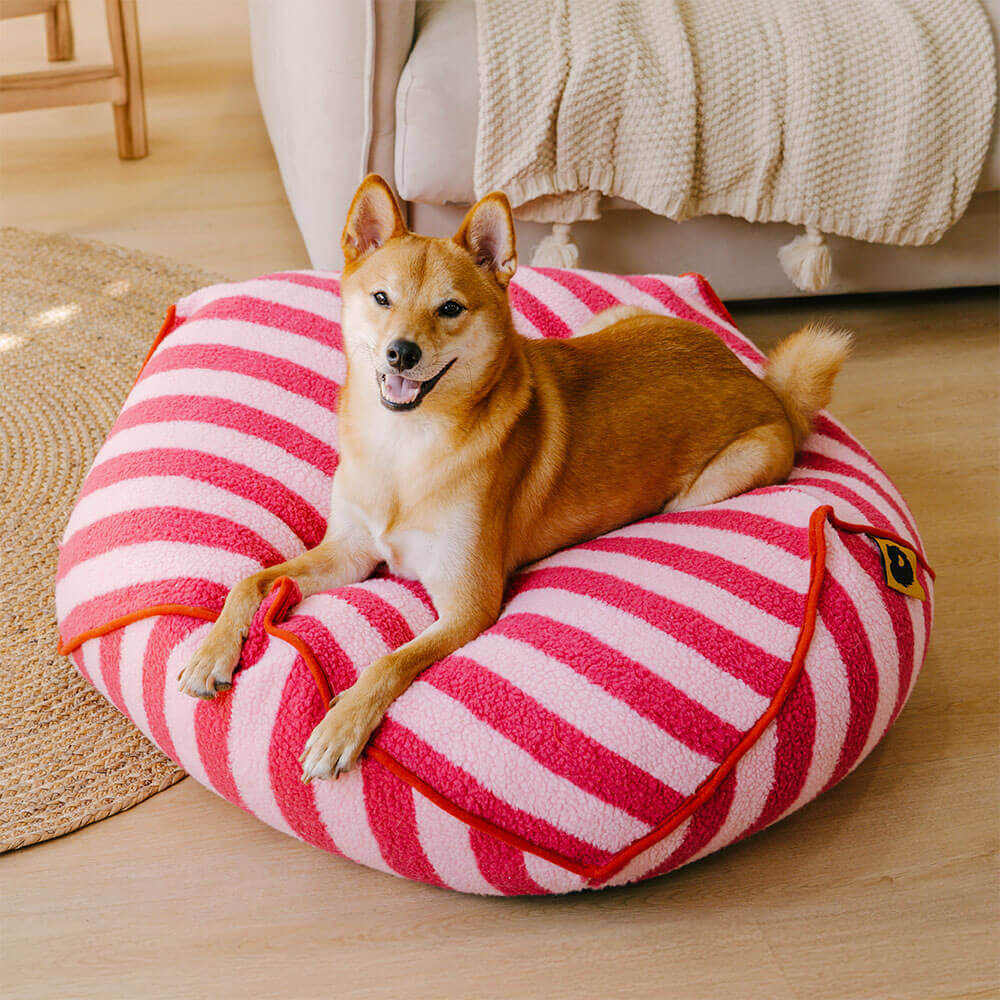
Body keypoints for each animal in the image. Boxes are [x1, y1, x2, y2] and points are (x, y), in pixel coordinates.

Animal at [178, 174, 852, 780]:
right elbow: (251, 580)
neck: (405, 447)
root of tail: (760, 382)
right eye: (381, 298)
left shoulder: (468, 605)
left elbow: (389, 663)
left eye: (450, 308)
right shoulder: (347, 551)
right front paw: (212, 652)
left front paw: (341, 726)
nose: (401, 352)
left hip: (710, 485)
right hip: (612, 317)